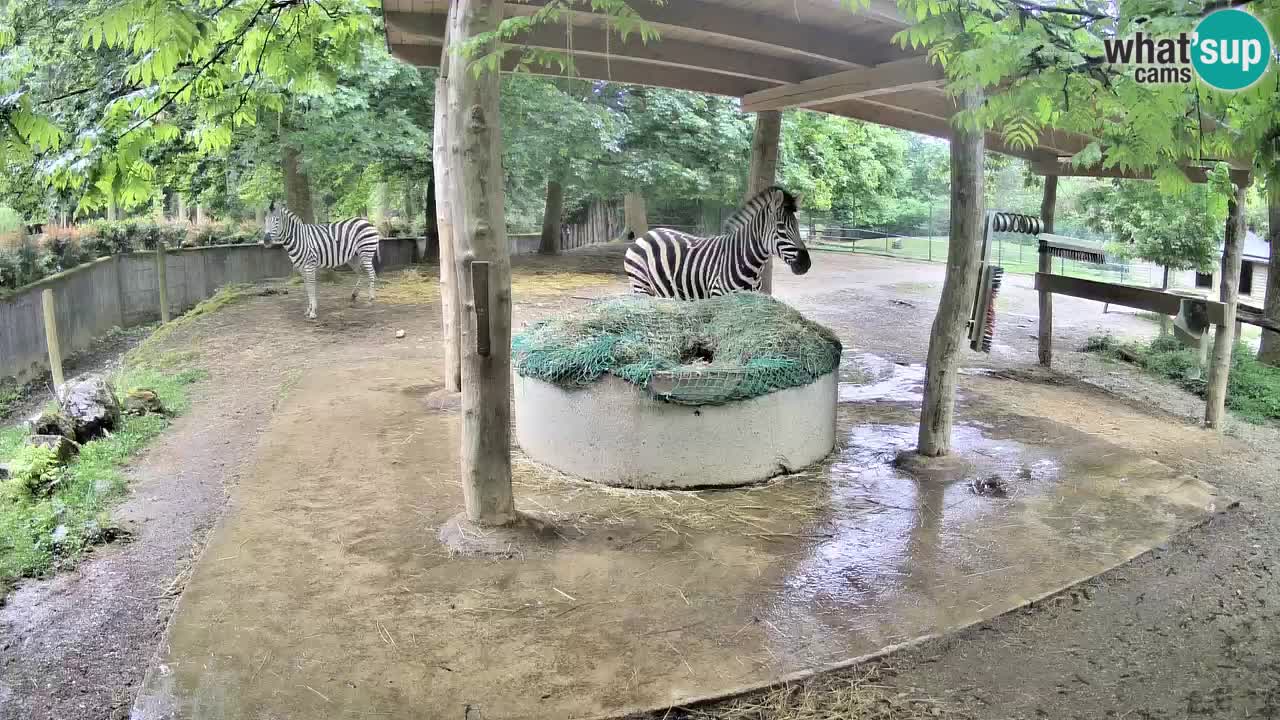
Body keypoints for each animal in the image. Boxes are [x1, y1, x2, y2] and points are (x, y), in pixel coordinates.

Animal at [623, 186, 810, 299]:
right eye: (781, 227)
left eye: (798, 226)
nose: (806, 264)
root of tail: (647, 234)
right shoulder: (718, 295)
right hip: (641, 286)